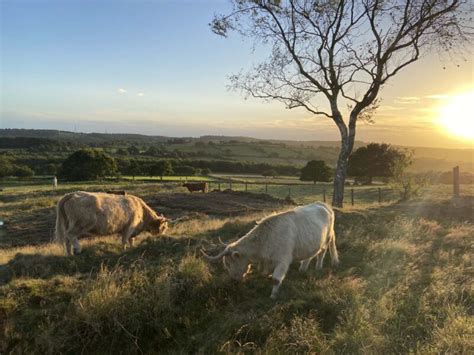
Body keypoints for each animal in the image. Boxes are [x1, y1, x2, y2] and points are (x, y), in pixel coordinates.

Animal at [202, 203, 338, 298]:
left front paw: (273, 295)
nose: (233, 281)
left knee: (322, 253)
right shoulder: (266, 261)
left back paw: (318, 267)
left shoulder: (283, 260)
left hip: (327, 239)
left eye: (229, 263)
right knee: (308, 256)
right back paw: (302, 269)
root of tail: (324, 205)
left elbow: (276, 279)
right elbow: (264, 273)